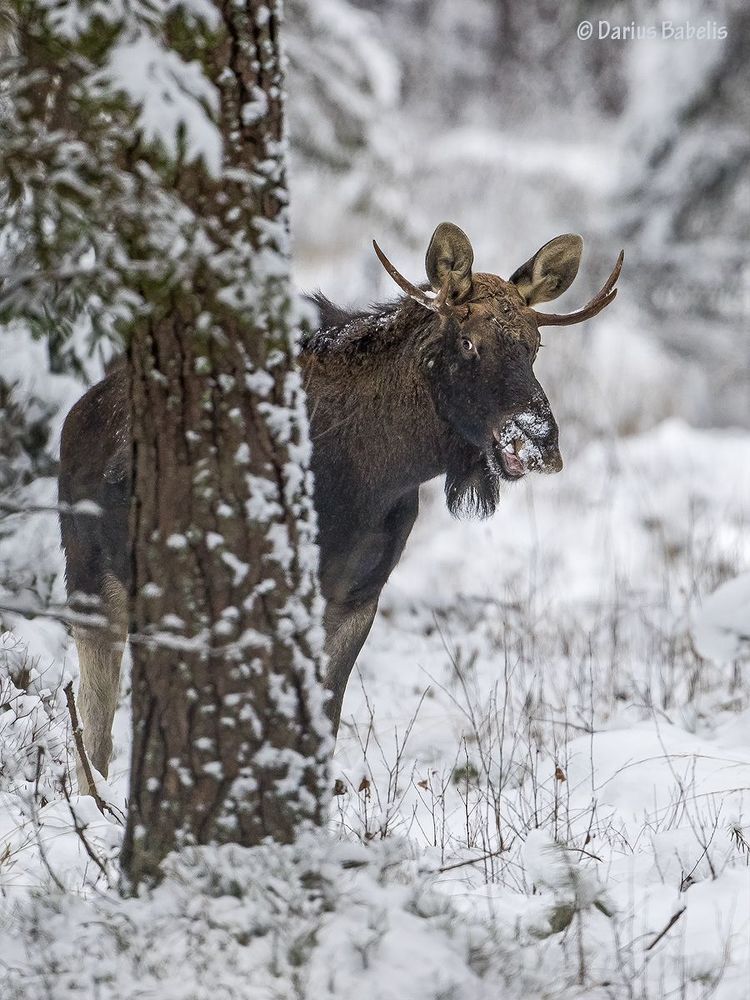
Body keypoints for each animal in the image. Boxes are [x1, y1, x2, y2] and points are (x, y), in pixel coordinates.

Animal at [59, 222, 622, 782]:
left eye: (534, 346)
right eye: (468, 341)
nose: (539, 441)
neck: (374, 479)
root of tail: (79, 410)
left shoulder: (357, 596)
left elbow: (325, 723)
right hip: (94, 579)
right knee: (97, 718)